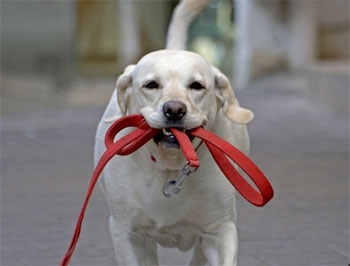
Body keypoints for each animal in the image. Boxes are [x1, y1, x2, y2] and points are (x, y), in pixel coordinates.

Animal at [95, 1, 254, 264]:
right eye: (151, 85)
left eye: (197, 86)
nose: (174, 110)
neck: (170, 166)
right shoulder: (127, 233)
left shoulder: (220, 230)